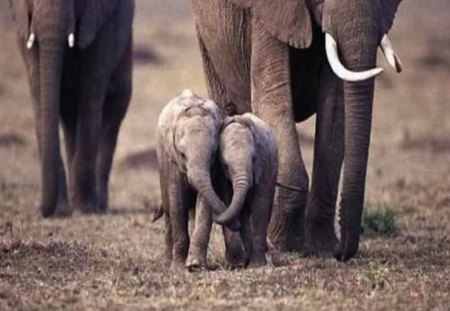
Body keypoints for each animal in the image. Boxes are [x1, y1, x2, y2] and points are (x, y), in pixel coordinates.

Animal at [190, 0, 404, 260]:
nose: (342, 252)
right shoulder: (266, 15)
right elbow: (273, 97)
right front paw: (286, 242)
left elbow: (336, 109)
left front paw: (322, 247)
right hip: (207, 41)